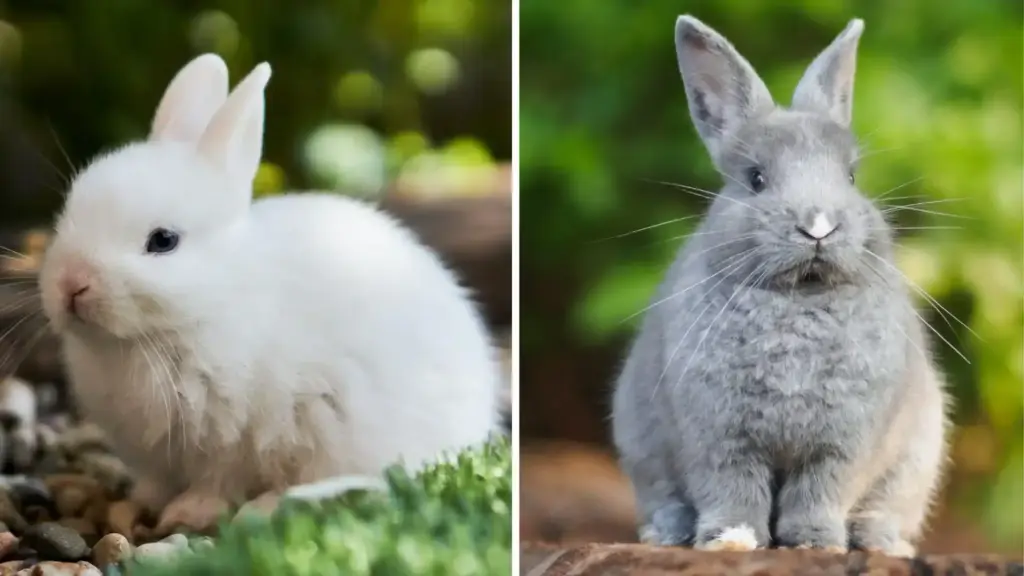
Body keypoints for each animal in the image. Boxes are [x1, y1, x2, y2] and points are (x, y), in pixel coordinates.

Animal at [37, 54, 502, 535]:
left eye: (163, 241)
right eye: (69, 211)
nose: (71, 284)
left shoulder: (231, 440)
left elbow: (218, 482)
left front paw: (188, 513)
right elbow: (156, 482)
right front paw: (137, 504)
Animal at [610, 16, 949, 556]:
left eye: (851, 176)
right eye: (756, 179)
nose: (818, 225)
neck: (799, 297)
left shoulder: (843, 444)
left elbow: (820, 491)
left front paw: (815, 543)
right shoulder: (719, 438)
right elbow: (732, 489)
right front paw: (730, 540)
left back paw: (882, 543)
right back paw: (666, 533)